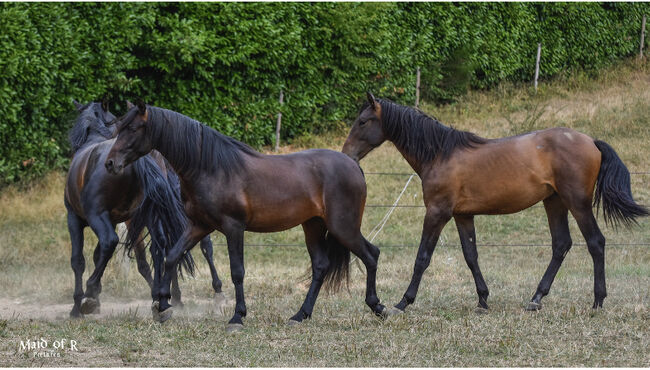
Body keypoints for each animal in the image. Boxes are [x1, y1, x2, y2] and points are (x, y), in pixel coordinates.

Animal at [64, 101, 224, 318]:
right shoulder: (118, 220)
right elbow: (102, 257)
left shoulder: (76, 218)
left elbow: (78, 261)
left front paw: (79, 304)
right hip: (153, 218)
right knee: (166, 248)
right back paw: (166, 300)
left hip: (106, 218)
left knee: (111, 242)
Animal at [103, 100, 382, 330]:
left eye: (133, 128)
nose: (110, 163)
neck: (211, 167)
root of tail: (352, 165)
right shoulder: (199, 226)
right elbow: (172, 256)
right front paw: (162, 306)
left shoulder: (233, 227)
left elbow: (237, 271)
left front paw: (237, 316)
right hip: (313, 226)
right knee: (321, 266)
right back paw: (300, 315)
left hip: (342, 227)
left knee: (371, 254)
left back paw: (377, 306)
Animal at [342, 92, 644, 316]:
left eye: (363, 121)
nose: (347, 155)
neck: (440, 154)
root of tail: (591, 140)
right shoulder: (462, 215)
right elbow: (471, 256)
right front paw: (483, 300)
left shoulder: (437, 213)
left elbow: (422, 258)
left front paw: (402, 302)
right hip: (554, 202)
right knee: (561, 245)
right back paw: (536, 298)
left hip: (577, 203)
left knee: (595, 242)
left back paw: (597, 301)